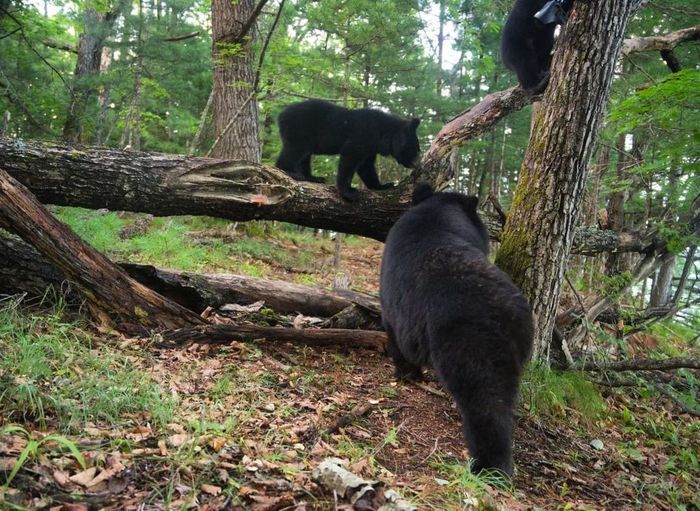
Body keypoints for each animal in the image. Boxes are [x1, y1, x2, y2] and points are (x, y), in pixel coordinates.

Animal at [276, 100, 422, 202]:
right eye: (416, 149)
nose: (418, 164)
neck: (382, 134)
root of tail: (281, 115)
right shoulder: (362, 135)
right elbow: (350, 158)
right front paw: (349, 192)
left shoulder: (371, 148)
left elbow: (367, 167)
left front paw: (384, 186)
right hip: (300, 129)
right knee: (294, 150)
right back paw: (290, 172)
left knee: (304, 157)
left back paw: (313, 178)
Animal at [380, 184, 532, 476]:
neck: (438, 216)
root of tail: (505, 312)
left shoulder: (394, 303)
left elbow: (395, 335)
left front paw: (407, 373)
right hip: (516, 347)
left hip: (467, 341)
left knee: (484, 402)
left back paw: (489, 466)